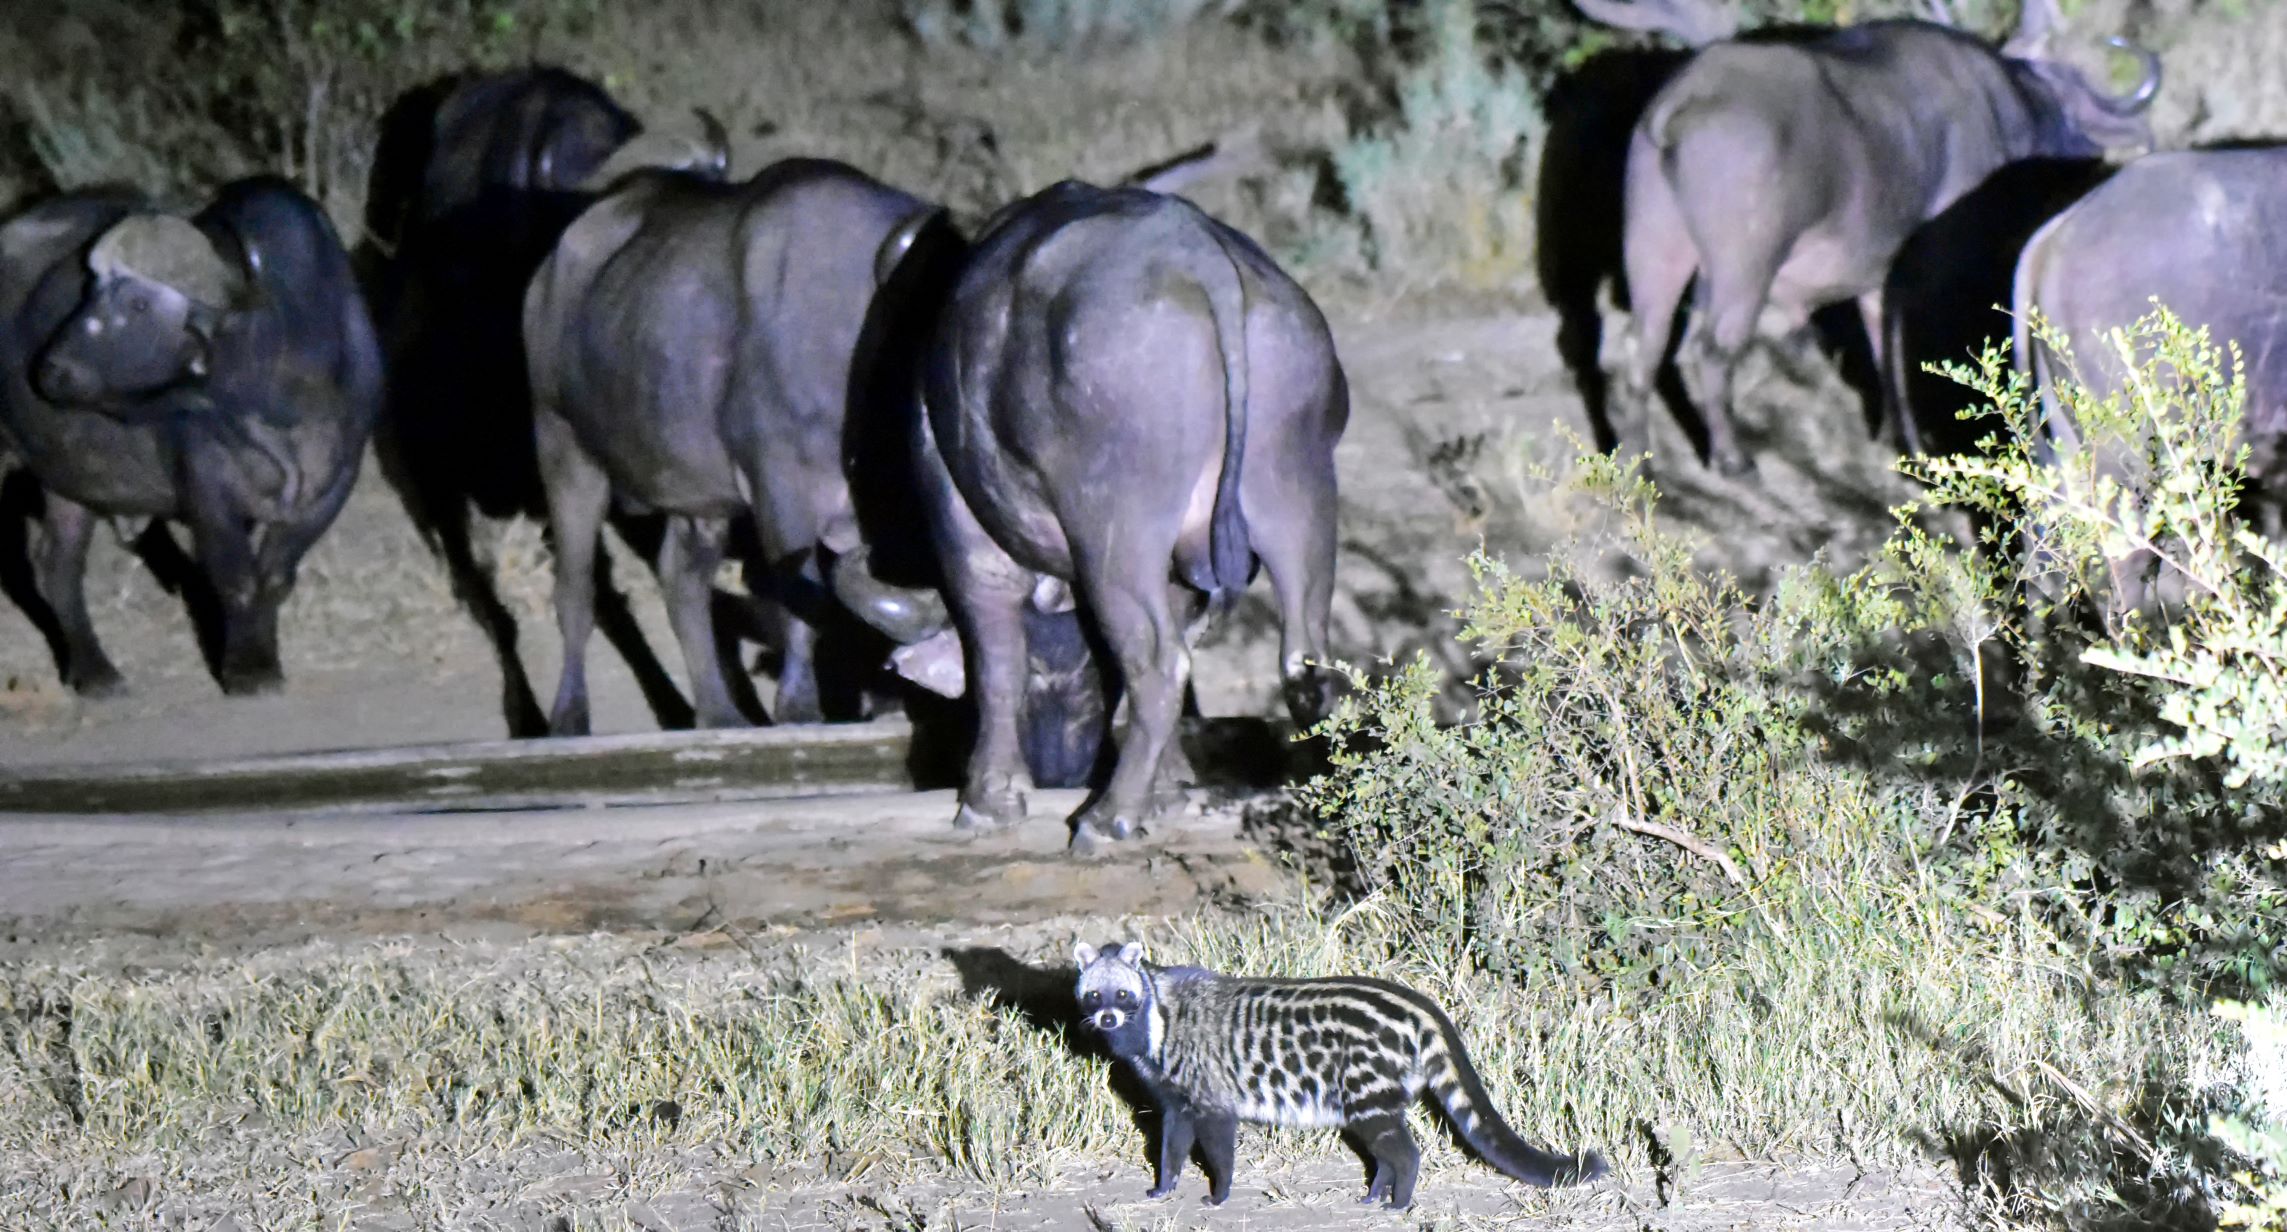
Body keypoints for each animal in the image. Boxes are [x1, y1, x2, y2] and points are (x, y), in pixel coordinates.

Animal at [0, 178, 382, 695]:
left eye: (139, 303)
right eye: (90, 289)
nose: (51, 369)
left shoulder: (333, 484)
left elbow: (275, 576)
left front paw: (264, 659)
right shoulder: (207, 486)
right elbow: (235, 578)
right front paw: (249, 671)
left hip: (68, 478)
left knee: (57, 564)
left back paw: (97, 675)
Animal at [871, 181, 1346, 851]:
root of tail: (1201, 255)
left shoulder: (965, 534)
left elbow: (997, 664)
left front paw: (990, 795)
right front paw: (1169, 787)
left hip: (1114, 536)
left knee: (1158, 662)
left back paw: (1105, 818)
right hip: (1298, 496)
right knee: (1308, 666)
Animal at [1578, 0, 2160, 475]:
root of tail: (1687, 97)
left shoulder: (1874, 281)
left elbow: (1881, 349)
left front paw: (1893, 440)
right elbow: (1904, 356)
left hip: (1655, 250)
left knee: (1645, 348)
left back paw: (1637, 461)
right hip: (1743, 270)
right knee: (1709, 351)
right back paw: (1731, 458)